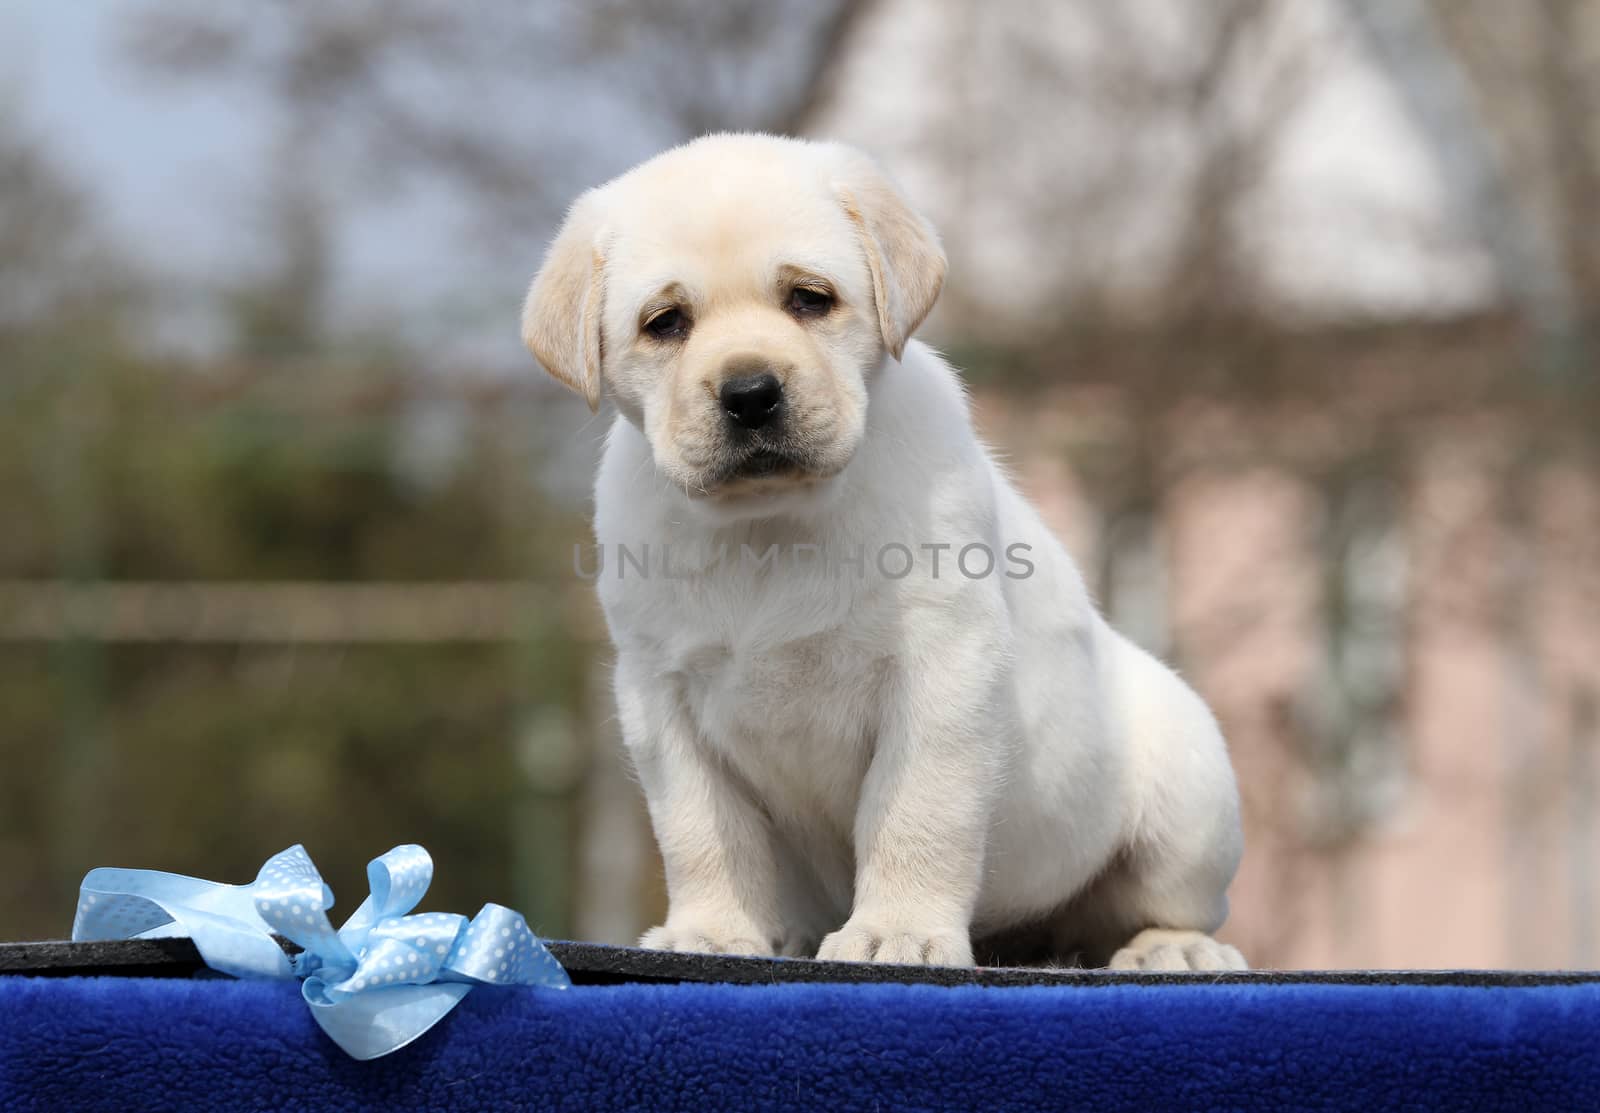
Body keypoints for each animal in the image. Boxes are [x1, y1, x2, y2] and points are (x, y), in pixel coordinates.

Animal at [524, 135, 1248, 972]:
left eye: (810, 299)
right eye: (665, 321)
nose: (750, 392)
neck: (770, 525)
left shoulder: (941, 669)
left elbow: (916, 813)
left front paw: (896, 931)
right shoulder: (658, 695)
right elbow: (703, 831)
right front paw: (710, 929)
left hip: (1189, 791)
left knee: (1161, 903)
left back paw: (1173, 947)